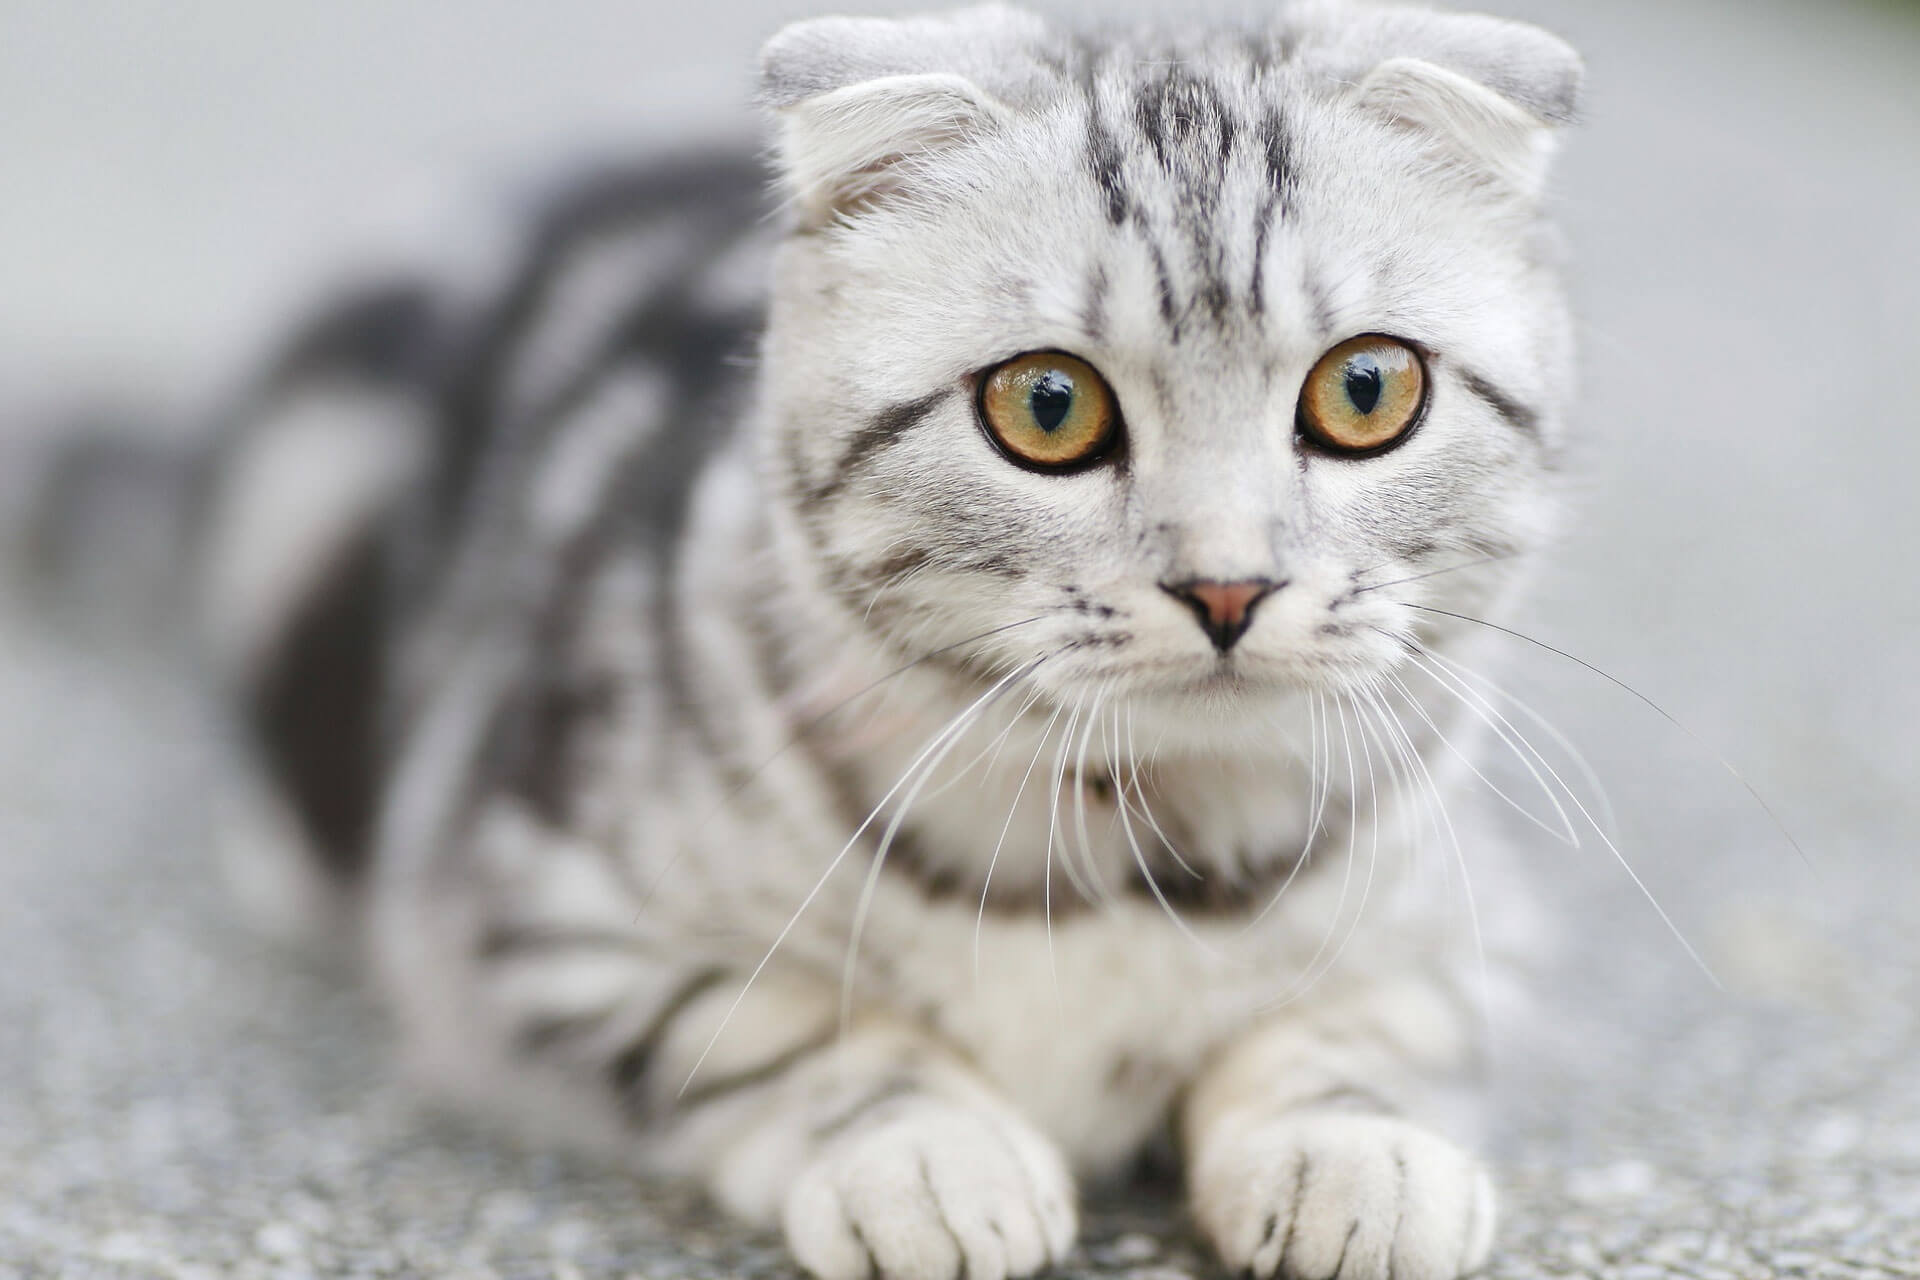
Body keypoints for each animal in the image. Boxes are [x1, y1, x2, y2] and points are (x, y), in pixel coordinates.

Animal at [202, 2, 1582, 1280]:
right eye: (1047, 407)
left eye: (1366, 391)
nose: (1228, 585)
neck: (1123, 840)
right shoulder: (532, 912)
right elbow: (781, 1026)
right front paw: (929, 1155)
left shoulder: (1473, 930)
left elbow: (1357, 1024)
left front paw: (1354, 1150)